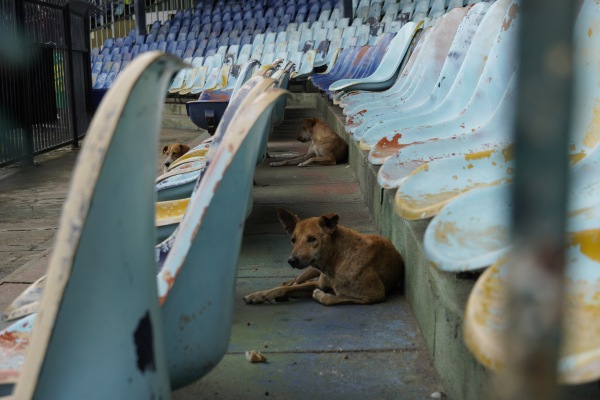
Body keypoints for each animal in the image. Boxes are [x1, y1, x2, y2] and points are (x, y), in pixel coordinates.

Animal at [243, 208, 404, 304]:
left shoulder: (374, 294)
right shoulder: (318, 282)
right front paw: (258, 295)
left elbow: (333, 298)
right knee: (293, 282)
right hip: (309, 271)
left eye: (312, 239)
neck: (335, 261)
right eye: (293, 240)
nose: (291, 261)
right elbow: (283, 288)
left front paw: (321, 295)